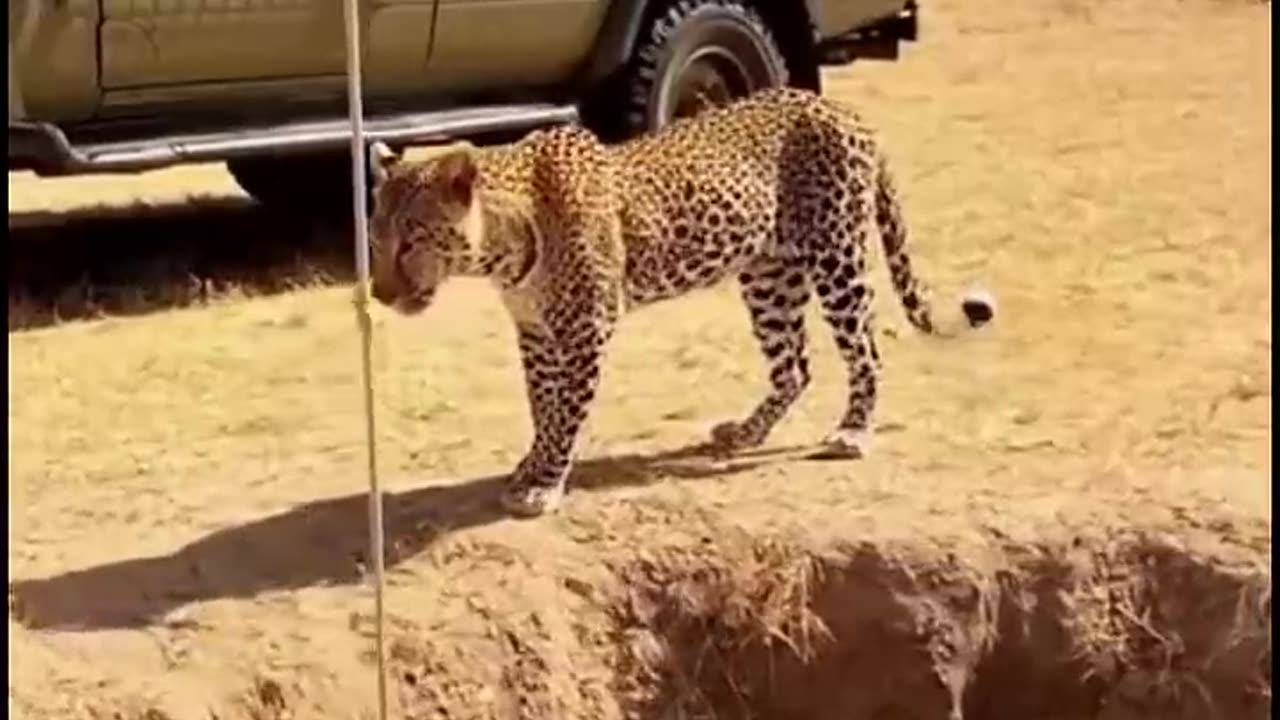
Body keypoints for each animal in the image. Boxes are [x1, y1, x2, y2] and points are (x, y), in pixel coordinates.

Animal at [368, 86, 995, 518]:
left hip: (837, 255)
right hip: (768, 276)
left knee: (864, 349)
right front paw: (529, 468)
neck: (503, 249)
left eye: (412, 239)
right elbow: (541, 408)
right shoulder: (538, 335)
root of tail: (839, 106)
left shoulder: (586, 329)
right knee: (794, 365)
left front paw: (544, 483)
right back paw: (746, 434)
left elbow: (567, 412)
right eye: (373, 240)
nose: (378, 292)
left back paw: (853, 432)